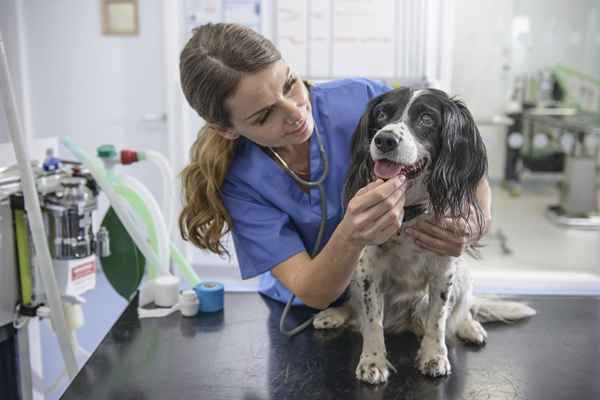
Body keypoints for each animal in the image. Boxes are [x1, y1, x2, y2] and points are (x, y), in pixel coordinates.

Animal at [312, 88, 536, 384]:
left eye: (427, 119)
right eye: (381, 113)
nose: (384, 139)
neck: (408, 213)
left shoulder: (444, 270)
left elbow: (437, 320)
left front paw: (434, 356)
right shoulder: (368, 269)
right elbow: (372, 322)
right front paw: (373, 360)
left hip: (462, 274)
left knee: (463, 309)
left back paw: (470, 327)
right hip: (354, 275)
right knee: (356, 307)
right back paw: (334, 314)